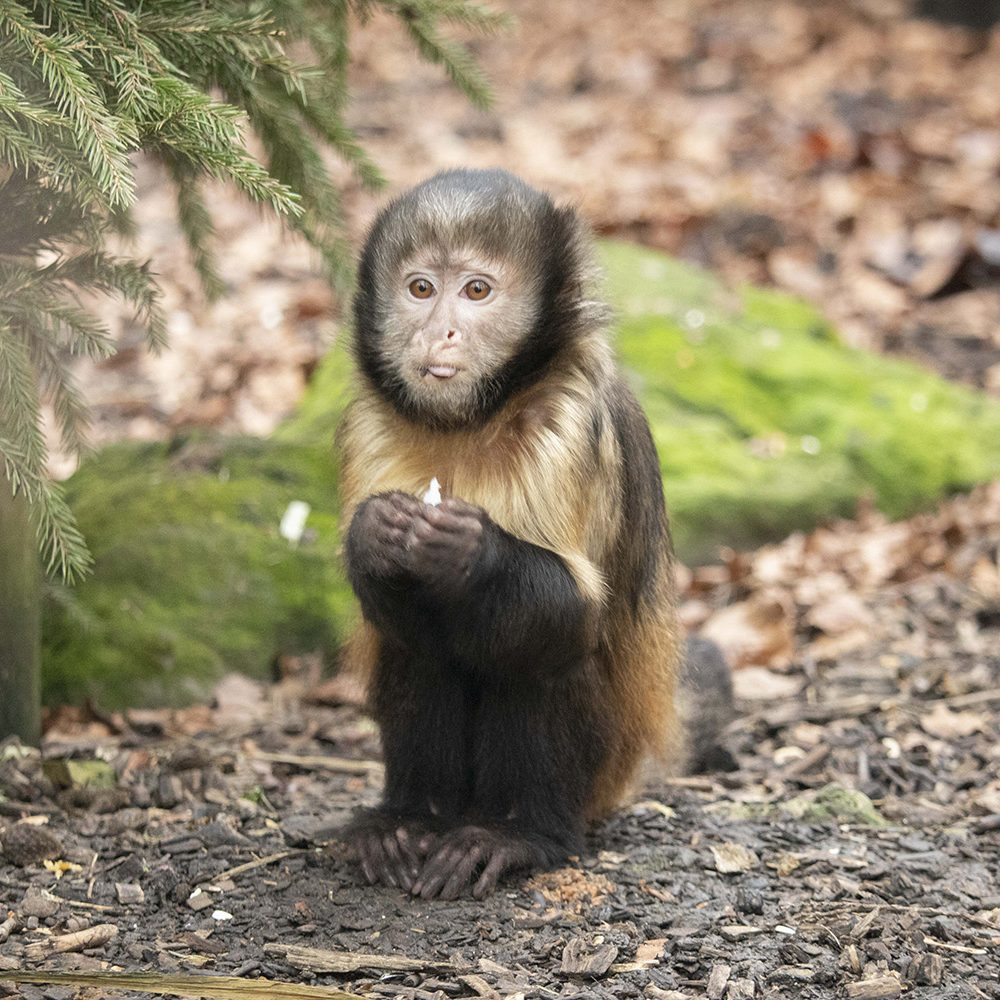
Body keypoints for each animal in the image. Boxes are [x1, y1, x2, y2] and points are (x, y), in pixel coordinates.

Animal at [336, 168, 736, 904]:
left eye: (477, 291)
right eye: (420, 289)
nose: (441, 332)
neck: (474, 420)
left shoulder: (569, 424)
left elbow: (573, 612)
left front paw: (468, 550)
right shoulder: (366, 427)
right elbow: (386, 605)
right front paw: (376, 536)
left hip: (601, 775)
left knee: (541, 648)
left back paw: (522, 835)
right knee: (420, 644)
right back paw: (411, 820)